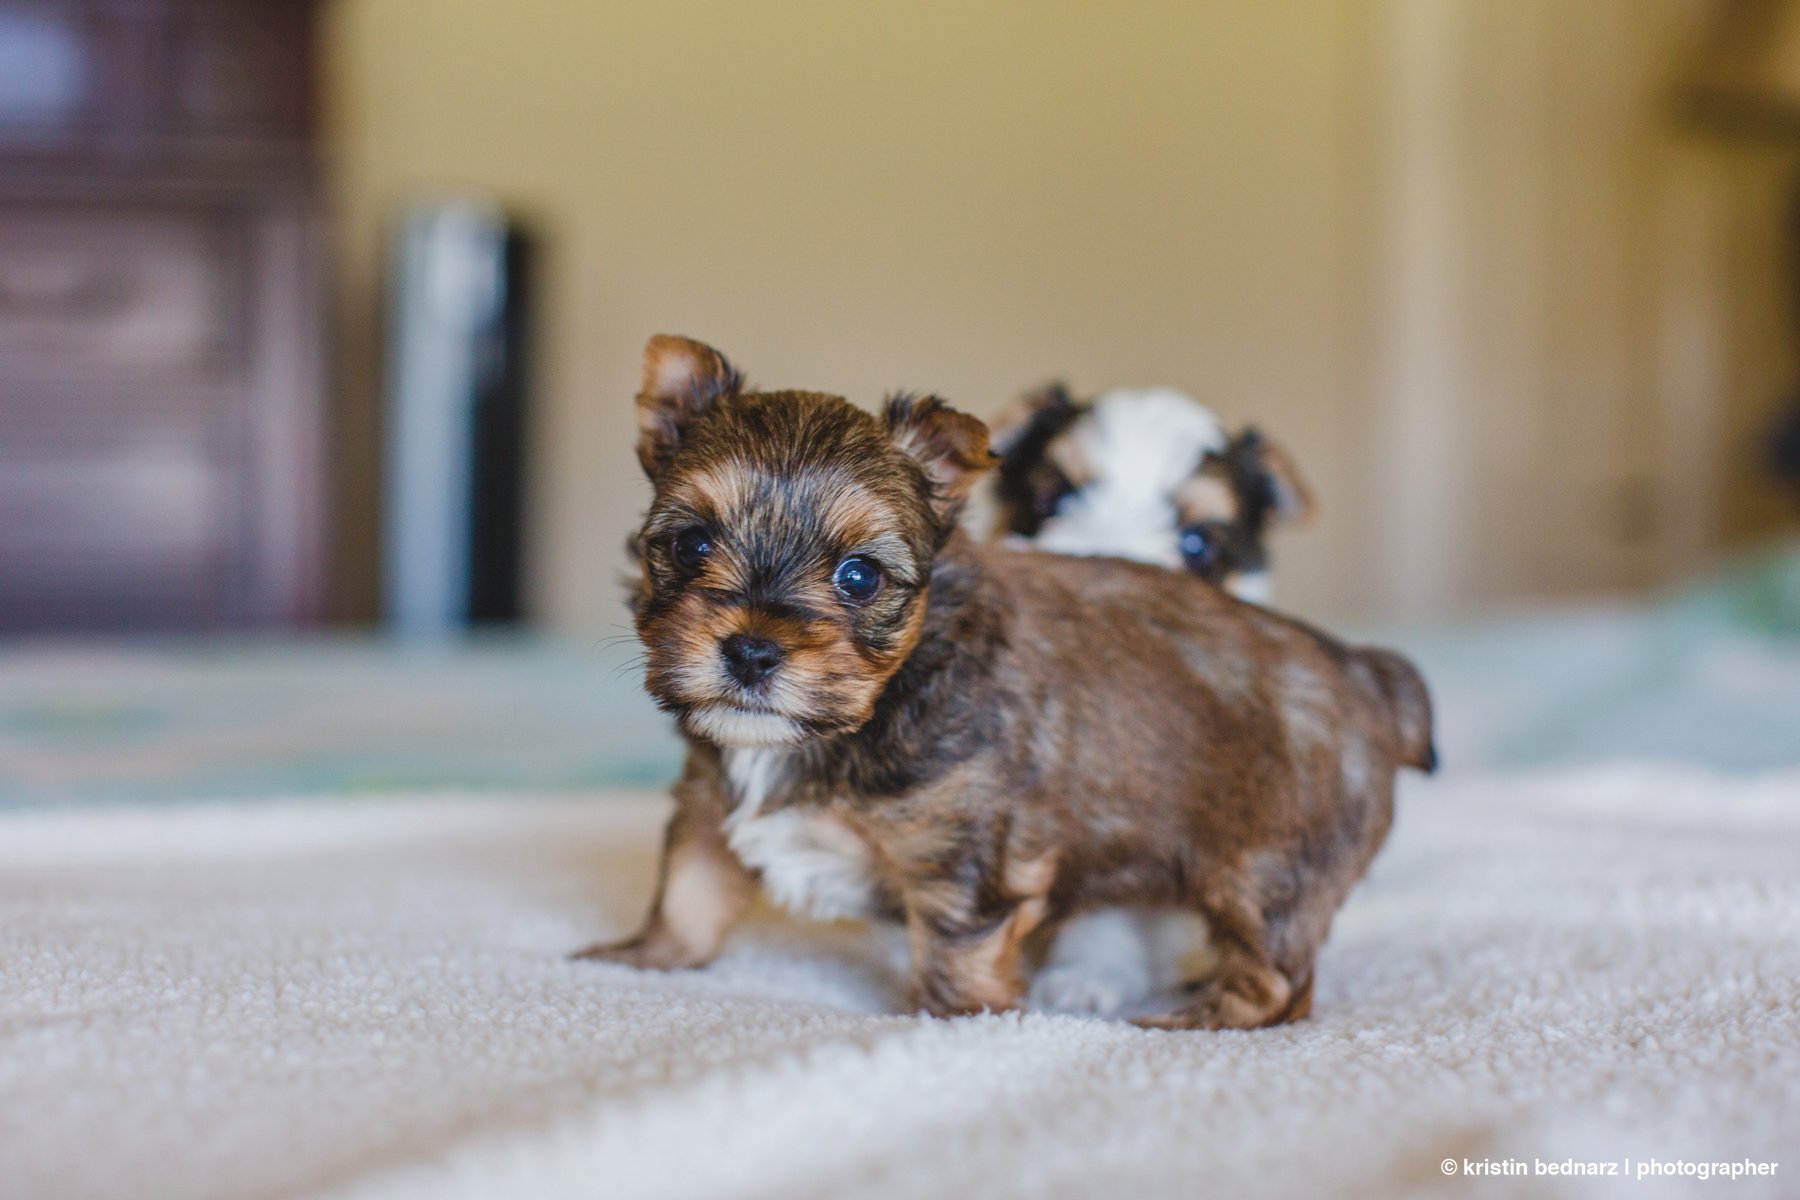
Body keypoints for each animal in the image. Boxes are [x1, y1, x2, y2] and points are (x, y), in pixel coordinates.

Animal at [583, 338, 1440, 1036]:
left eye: (858, 577)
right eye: (691, 545)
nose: (752, 652)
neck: (879, 700)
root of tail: (1366, 670)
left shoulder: (965, 849)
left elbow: (956, 949)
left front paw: (963, 1021)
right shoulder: (708, 795)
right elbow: (689, 887)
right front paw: (639, 961)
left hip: (1267, 870)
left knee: (1278, 980)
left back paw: (1194, 1020)